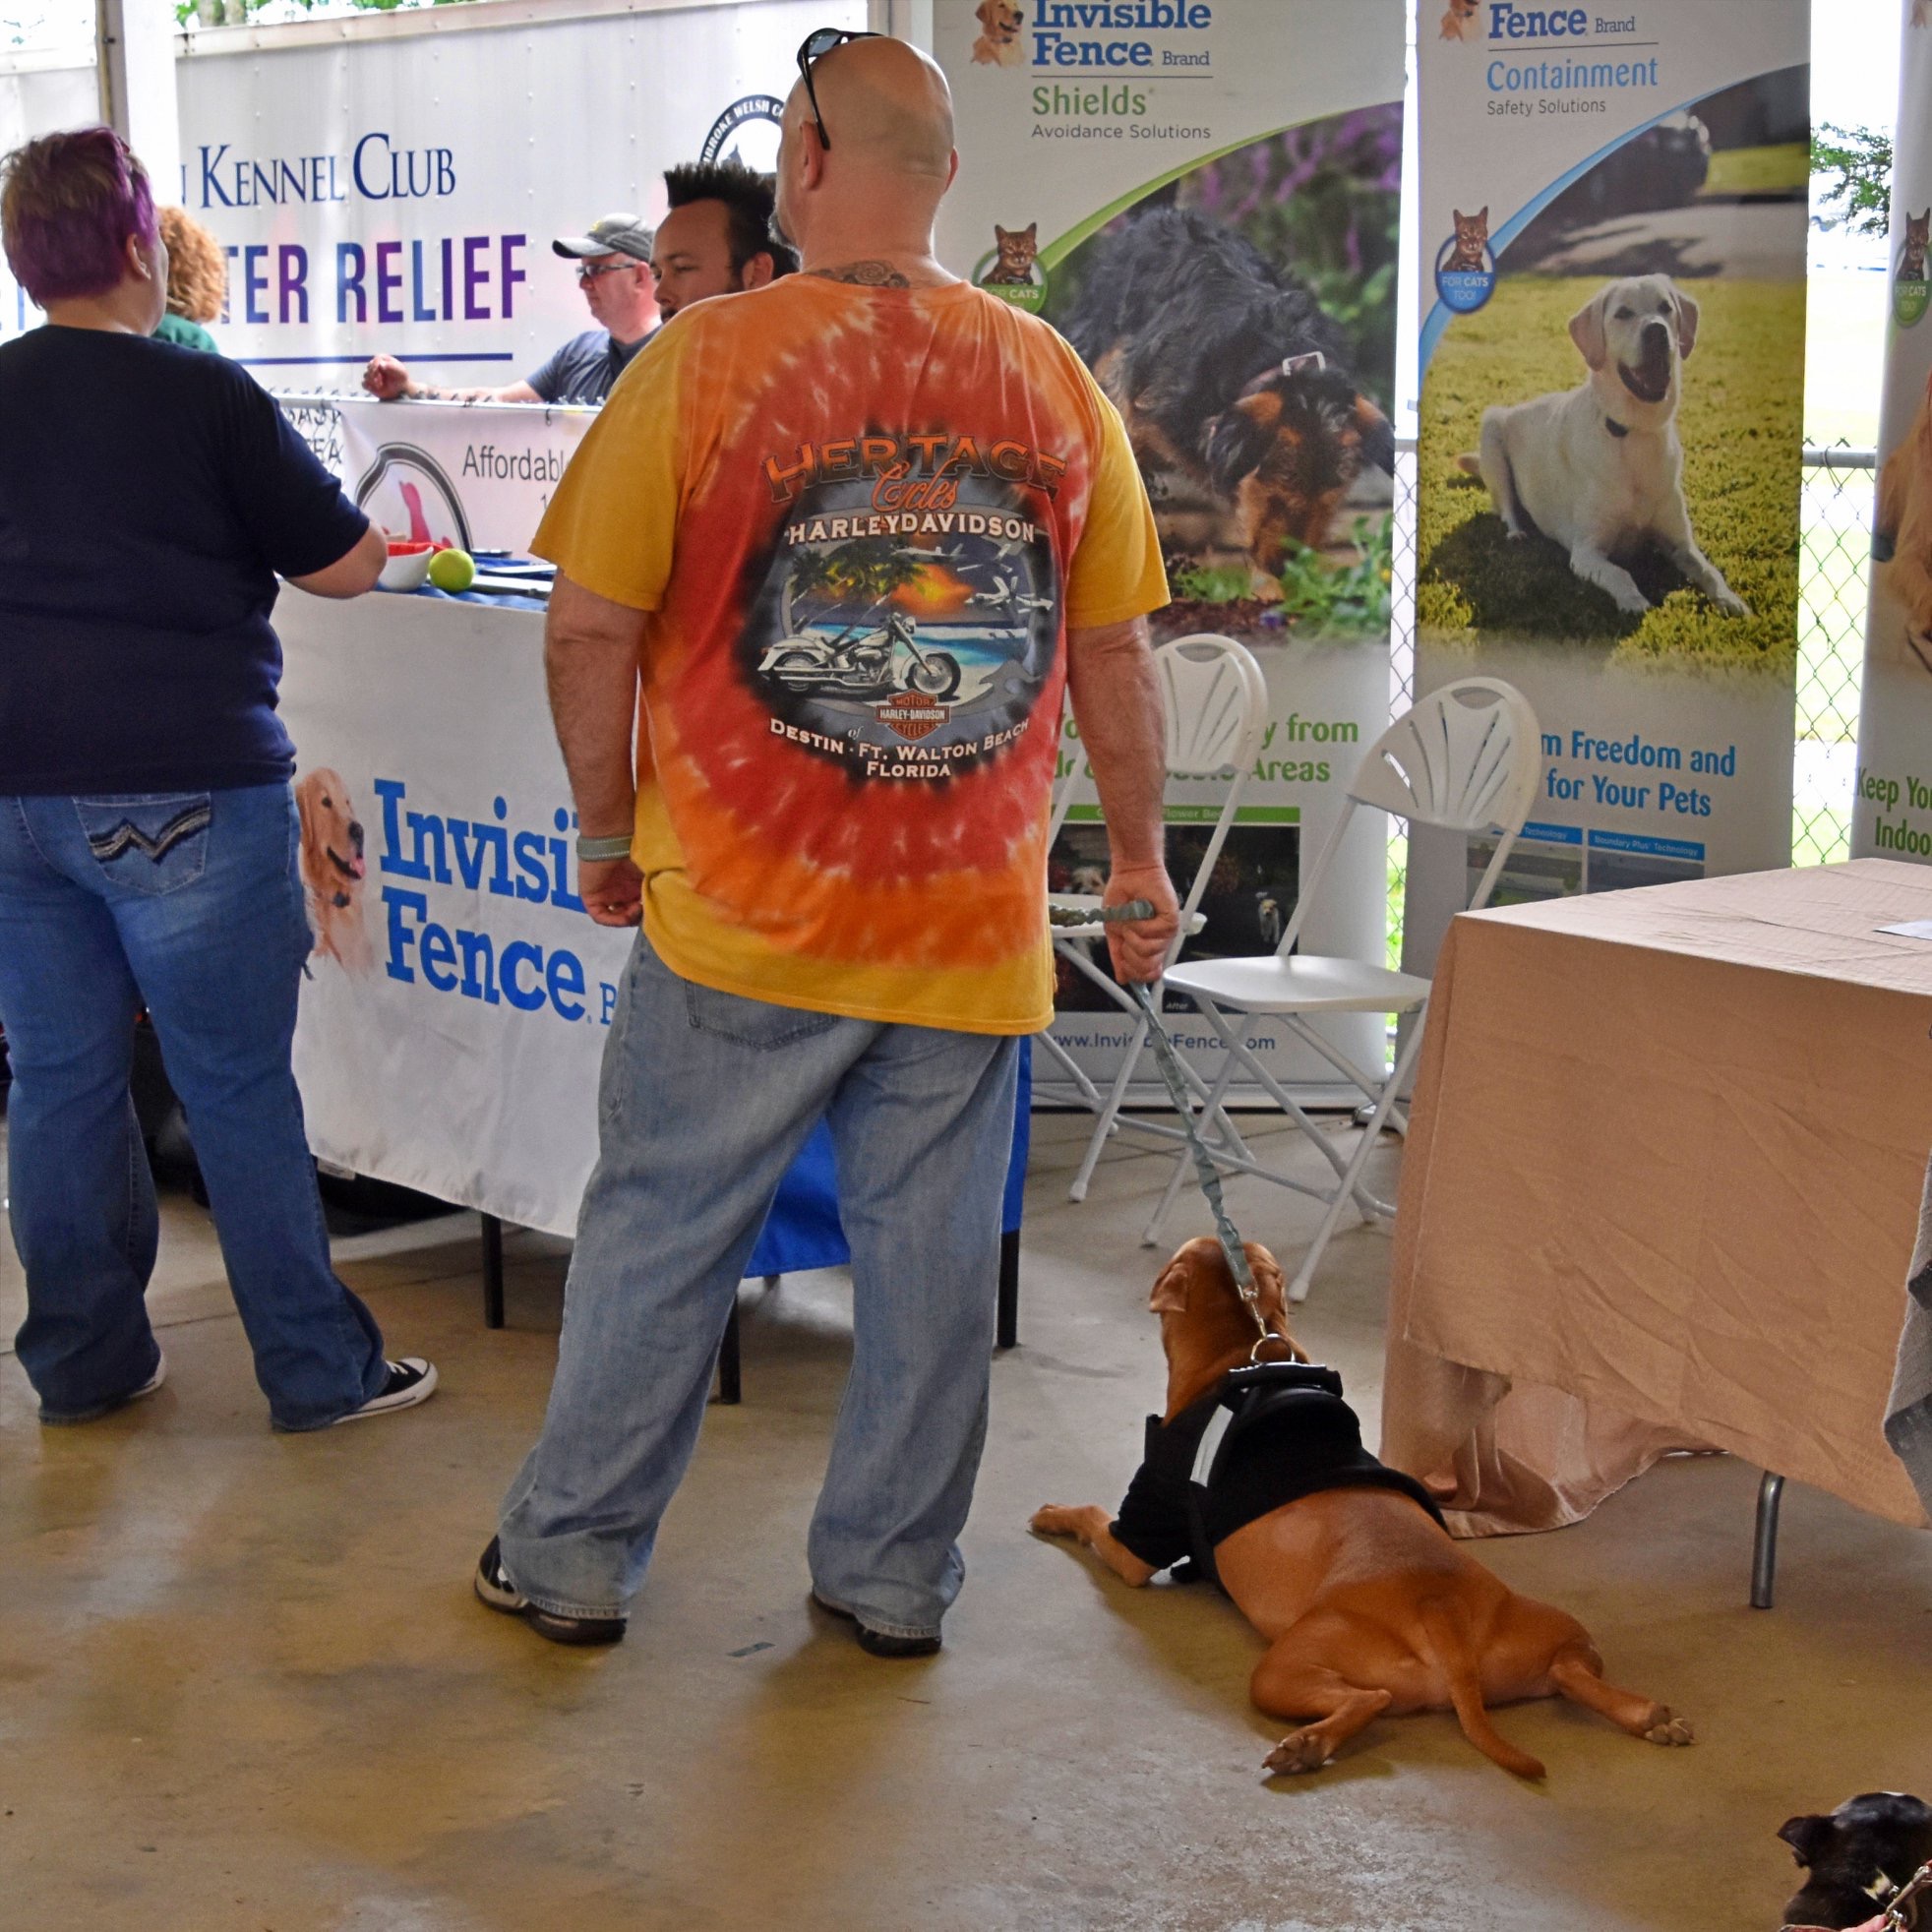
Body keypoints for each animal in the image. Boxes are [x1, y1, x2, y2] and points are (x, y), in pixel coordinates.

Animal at [1033, 1237, 1693, 1778]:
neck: (1240, 1352)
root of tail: (1440, 1607)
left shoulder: (1139, 1532)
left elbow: (1093, 1517)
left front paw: (1054, 1513)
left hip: (1284, 1668)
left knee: (1368, 1700)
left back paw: (1308, 1747)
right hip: (1554, 1631)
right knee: (1571, 1670)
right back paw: (1649, 1717)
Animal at [1457, 274, 1749, 618]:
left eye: (1665, 308)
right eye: (1623, 313)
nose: (1656, 330)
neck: (1634, 432)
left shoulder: (1681, 542)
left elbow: (1709, 570)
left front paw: (1730, 599)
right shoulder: (1586, 551)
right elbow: (1619, 573)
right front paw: (1634, 601)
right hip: (1492, 433)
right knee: (1506, 508)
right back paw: (1516, 532)